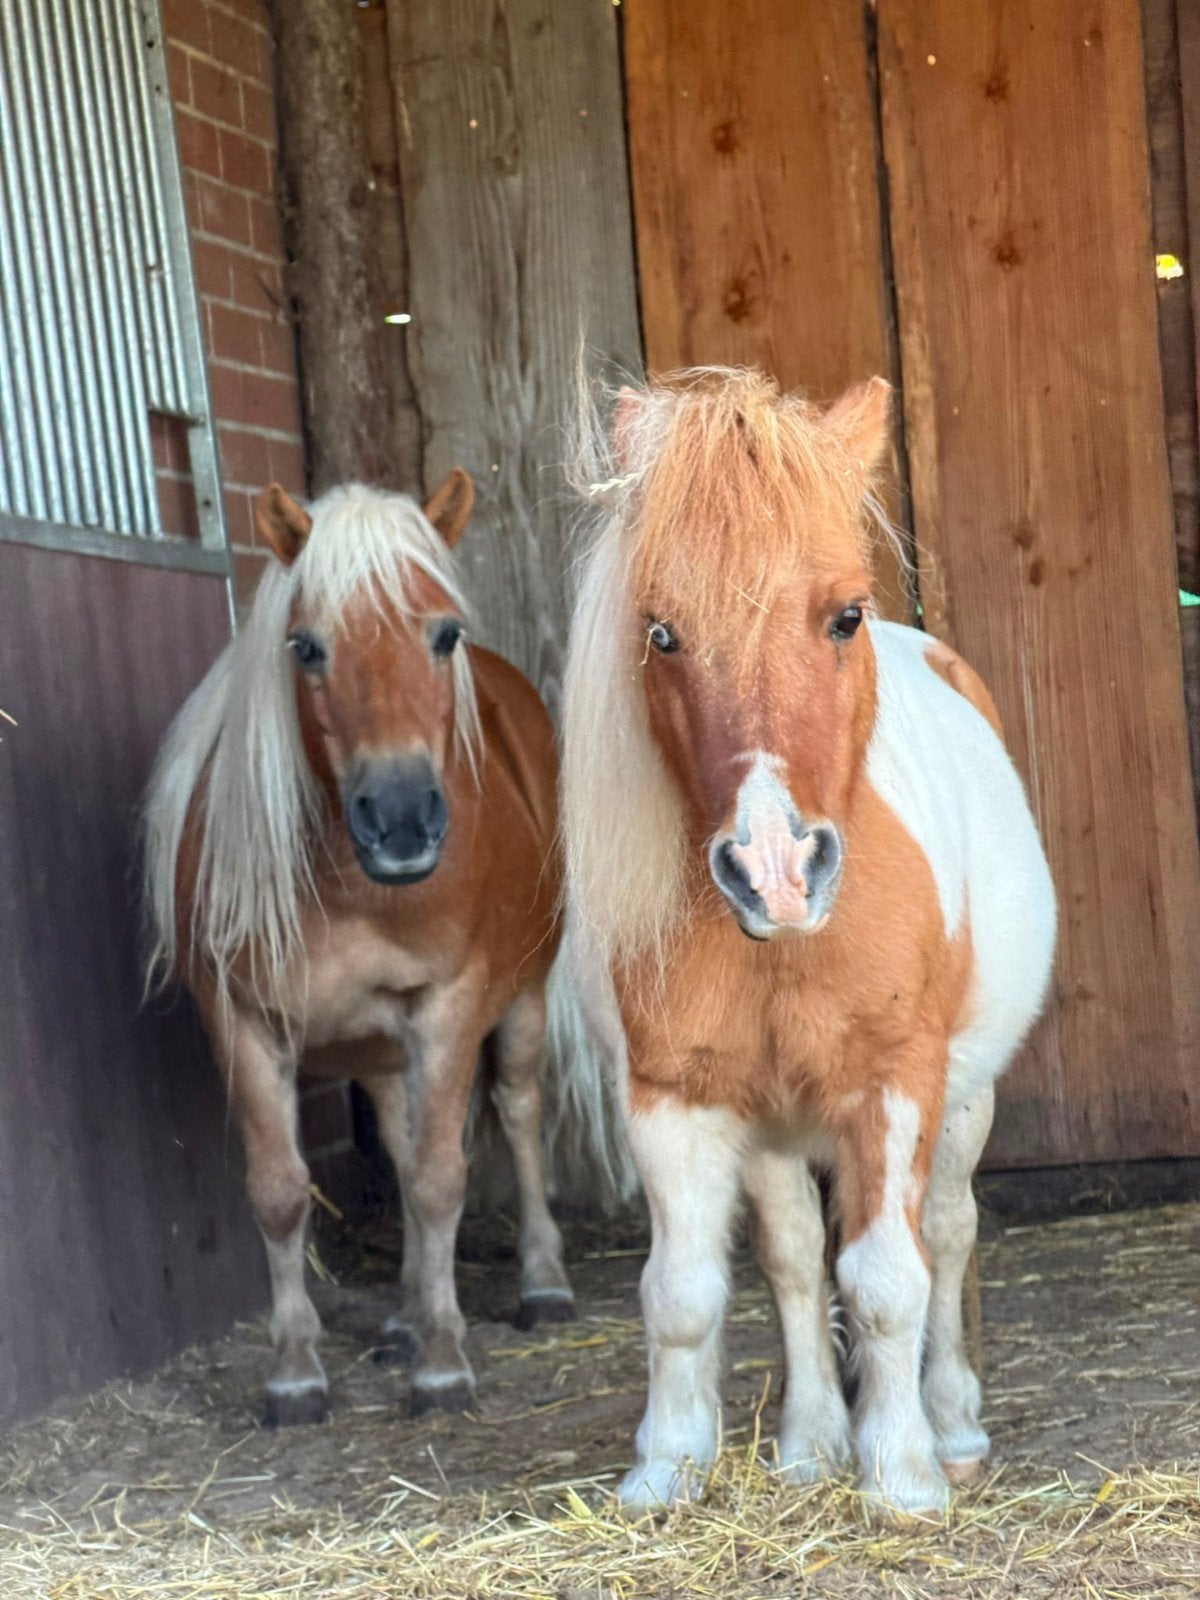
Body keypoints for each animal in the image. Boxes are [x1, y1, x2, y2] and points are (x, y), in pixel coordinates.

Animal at [143, 473, 583, 1424]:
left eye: (443, 633)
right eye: (306, 647)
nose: (404, 819)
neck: (348, 888)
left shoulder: (449, 1008)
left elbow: (441, 1180)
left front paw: (445, 1365)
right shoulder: (242, 1023)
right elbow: (281, 1193)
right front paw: (296, 1372)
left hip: (521, 1004)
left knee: (519, 1115)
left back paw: (540, 1284)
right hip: (381, 1053)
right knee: (405, 1142)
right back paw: (405, 1317)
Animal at [561, 367, 1056, 1519]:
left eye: (843, 616)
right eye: (661, 633)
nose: (776, 869)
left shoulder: (895, 1084)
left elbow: (887, 1280)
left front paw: (905, 1476)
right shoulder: (675, 1100)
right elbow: (686, 1292)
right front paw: (666, 1468)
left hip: (965, 1098)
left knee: (948, 1233)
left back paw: (953, 1426)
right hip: (777, 1136)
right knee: (791, 1259)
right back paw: (809, 1445)